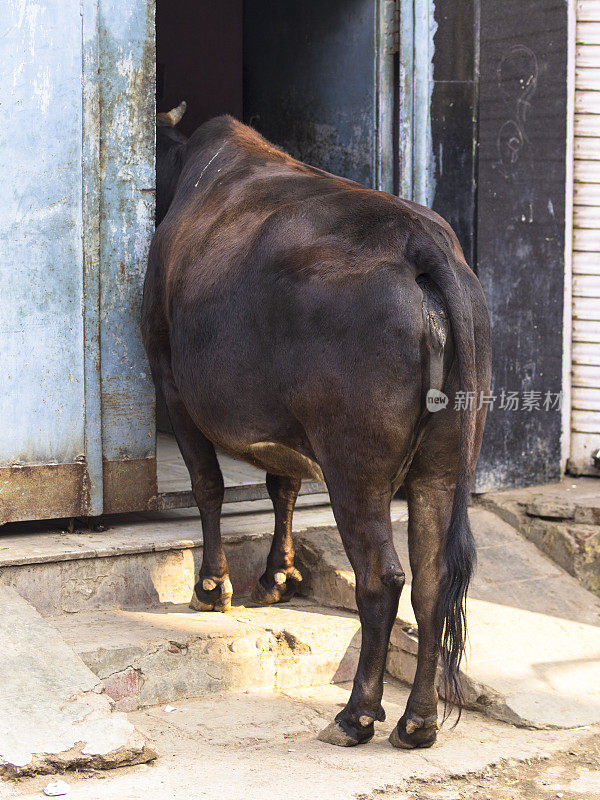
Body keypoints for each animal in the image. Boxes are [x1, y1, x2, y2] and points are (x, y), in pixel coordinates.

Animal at [143, 101, 490, 752]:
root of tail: (420, 242)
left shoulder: (171, 383)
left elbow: (209, 485)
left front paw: (212, 588)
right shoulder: (285, 426)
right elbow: (281, 486)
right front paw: (277, 576)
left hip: (355, 466)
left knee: (381, 579)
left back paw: (356, 715)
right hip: (442, 465)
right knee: (432, 583)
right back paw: (417, 722)